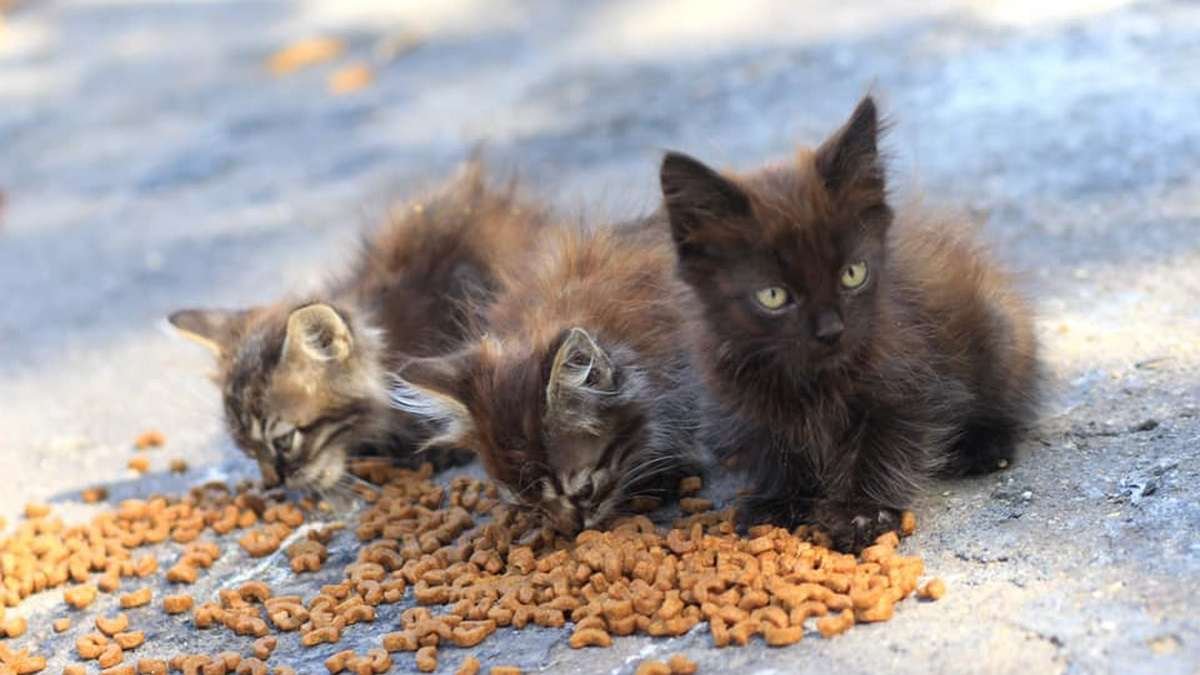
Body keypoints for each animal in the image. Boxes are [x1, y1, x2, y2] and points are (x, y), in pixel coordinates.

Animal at [662, 97, 1036, 550]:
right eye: (773, 296)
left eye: (853, 274)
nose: (830, 331)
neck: (814, 381)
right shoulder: (746, 398)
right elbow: (779, 448)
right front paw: (781, 500)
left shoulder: (907, 382)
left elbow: (884, 447)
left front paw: (862, 512)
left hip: (1000, 333)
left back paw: (982, 444)